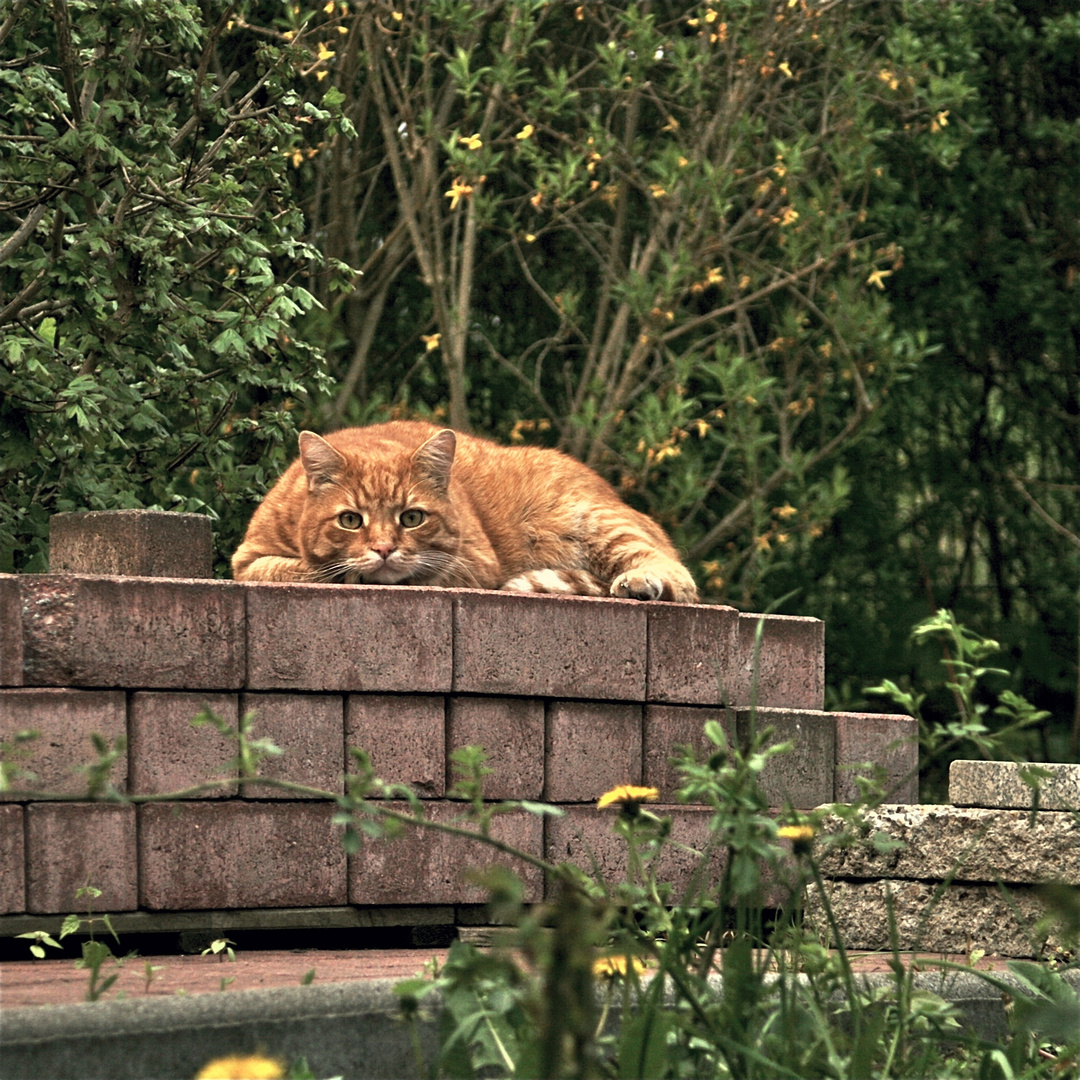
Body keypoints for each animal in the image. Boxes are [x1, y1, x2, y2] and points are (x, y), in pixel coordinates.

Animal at [231, 419, 695, 604]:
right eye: (350, 520)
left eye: (411, 518)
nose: (383, 549)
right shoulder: (247, 560)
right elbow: (296, 569)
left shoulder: (475, 563)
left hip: (594, 521)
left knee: (679, 577)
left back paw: (641, 583)